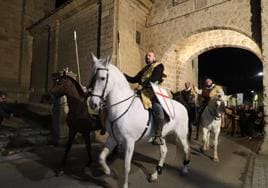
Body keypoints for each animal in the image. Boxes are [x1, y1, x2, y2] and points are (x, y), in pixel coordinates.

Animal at [89, 55, 189, 187]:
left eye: (102, 78)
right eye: (92, 77)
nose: (93, 104)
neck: (122, 107)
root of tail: (183, 106)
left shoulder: (129, 142)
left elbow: (127, 166)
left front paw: (125, 185)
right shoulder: (112, 138)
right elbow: (101, 157)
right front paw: (107, 171)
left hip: (181, 134)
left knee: (186, 148)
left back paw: (185, 169)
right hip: (161, 136)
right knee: (164, 151)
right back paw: (155, 174)